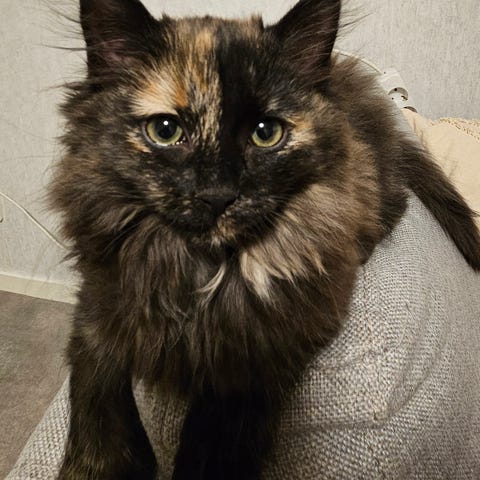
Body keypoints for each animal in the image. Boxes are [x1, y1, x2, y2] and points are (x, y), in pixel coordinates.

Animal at [50, 0, 480, 478]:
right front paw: (99, 464)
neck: (204, 272)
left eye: (266, 133)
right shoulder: (99, 296)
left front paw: (206, 459)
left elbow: (225, 415)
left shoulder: (281, 333)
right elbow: (95, 378)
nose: (218, 194)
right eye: (165, 130)